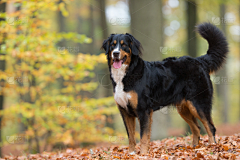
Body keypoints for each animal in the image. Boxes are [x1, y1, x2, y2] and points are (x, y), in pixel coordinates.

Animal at [101, 22, 229, 154]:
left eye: (124, 45)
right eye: (112, 45)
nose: (115, 53)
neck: (126, 74)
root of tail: (199, 60)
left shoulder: (143, 110)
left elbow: (143, 137)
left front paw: (143, 154)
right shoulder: (125, 112)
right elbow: (131, 137)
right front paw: (131, 153)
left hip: (198, 104)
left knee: (210, 127)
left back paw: (212, 148)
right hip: (184, 108)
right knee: (197, 128)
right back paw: (195, 148)